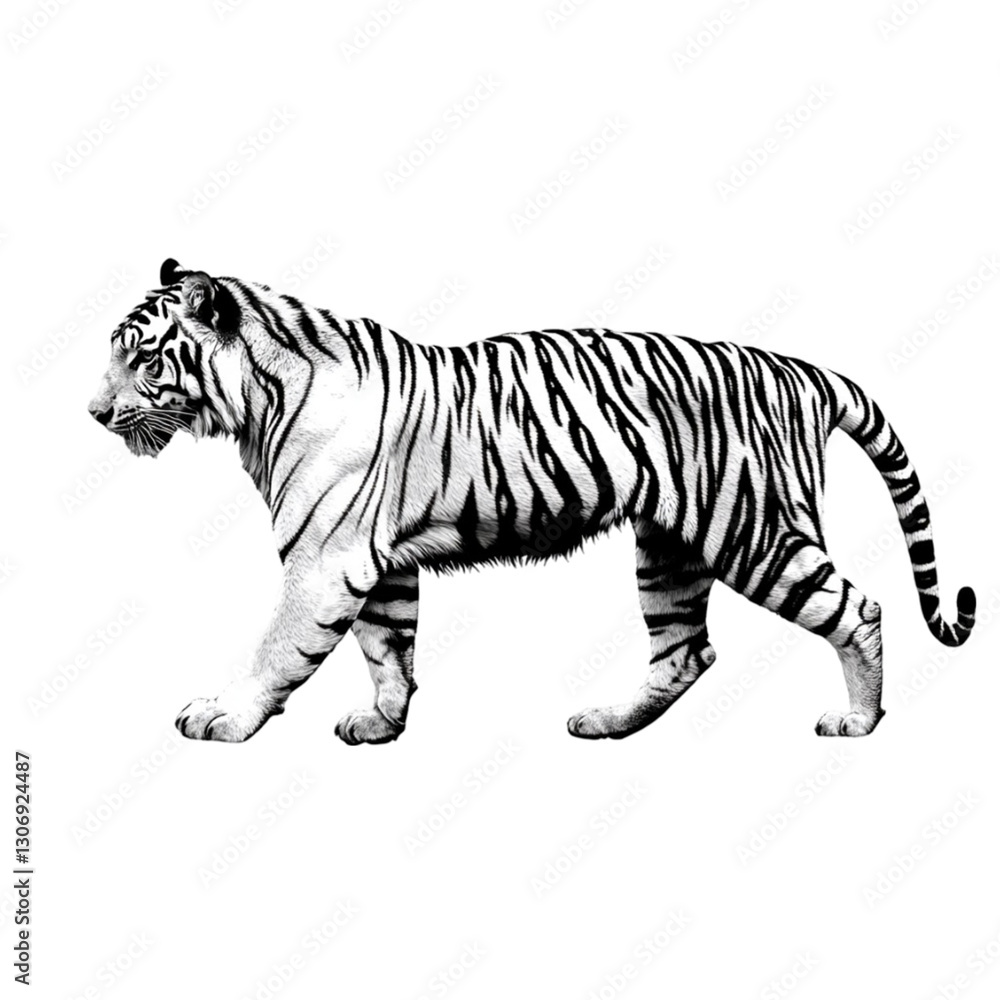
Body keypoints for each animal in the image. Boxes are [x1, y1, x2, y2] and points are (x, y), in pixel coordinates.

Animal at [86, 258, 976, 744]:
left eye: (143, 359)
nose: (93, 412)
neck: (254, 403)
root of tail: (799, 369)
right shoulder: (376, 560)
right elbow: (389, 646)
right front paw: (382, 723)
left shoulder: (325, 561)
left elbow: (279, 649)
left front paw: (222, 717)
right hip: (668, 546)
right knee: (685, 652)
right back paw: (607, 722)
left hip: (755, 532)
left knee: (858, 609)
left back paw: (859, 722)